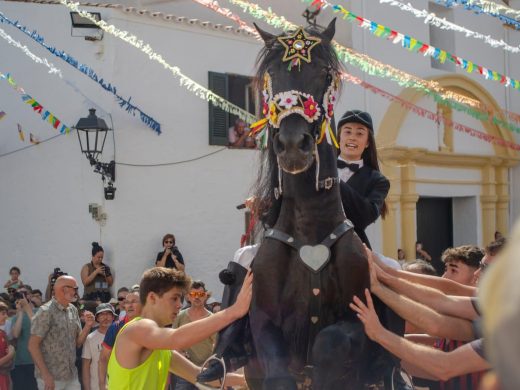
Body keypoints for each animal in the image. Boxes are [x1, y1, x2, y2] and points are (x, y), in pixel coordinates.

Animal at [241, 22, 402, 390]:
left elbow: (331, 343)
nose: (291, 145)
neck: (310, 226)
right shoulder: (263, 323)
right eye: (272, 74)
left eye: (325, 73)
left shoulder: (359, 321)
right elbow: (278, 369)